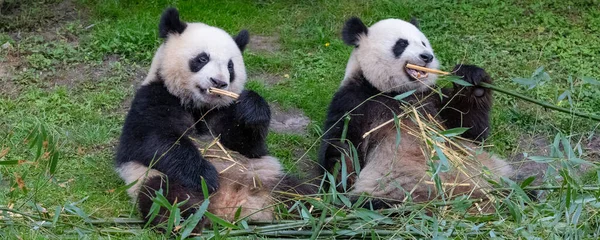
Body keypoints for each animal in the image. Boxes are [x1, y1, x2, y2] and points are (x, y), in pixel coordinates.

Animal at [116, 8, 314, 232]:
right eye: (202, 58)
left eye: (230, 66)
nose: (218, 82)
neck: (199, 105)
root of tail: (230, 210)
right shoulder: (153, 98)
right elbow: (153, 141)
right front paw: (207, 175)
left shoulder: (223, 111)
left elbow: (247, 144)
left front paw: (252, 108)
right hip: (158, 179)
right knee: (167, 198)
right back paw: (188, 221)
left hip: (270, 178)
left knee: (302, 193)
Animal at [318, 16, 510, 209]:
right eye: (402, 43)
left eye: (423, 42)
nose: (427, 56)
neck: (396, 92)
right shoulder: (353, 101)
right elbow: (340, 153)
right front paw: (341, 161)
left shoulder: (432, 98)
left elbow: (470, 132)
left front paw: (472, 82)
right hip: (390, 195)